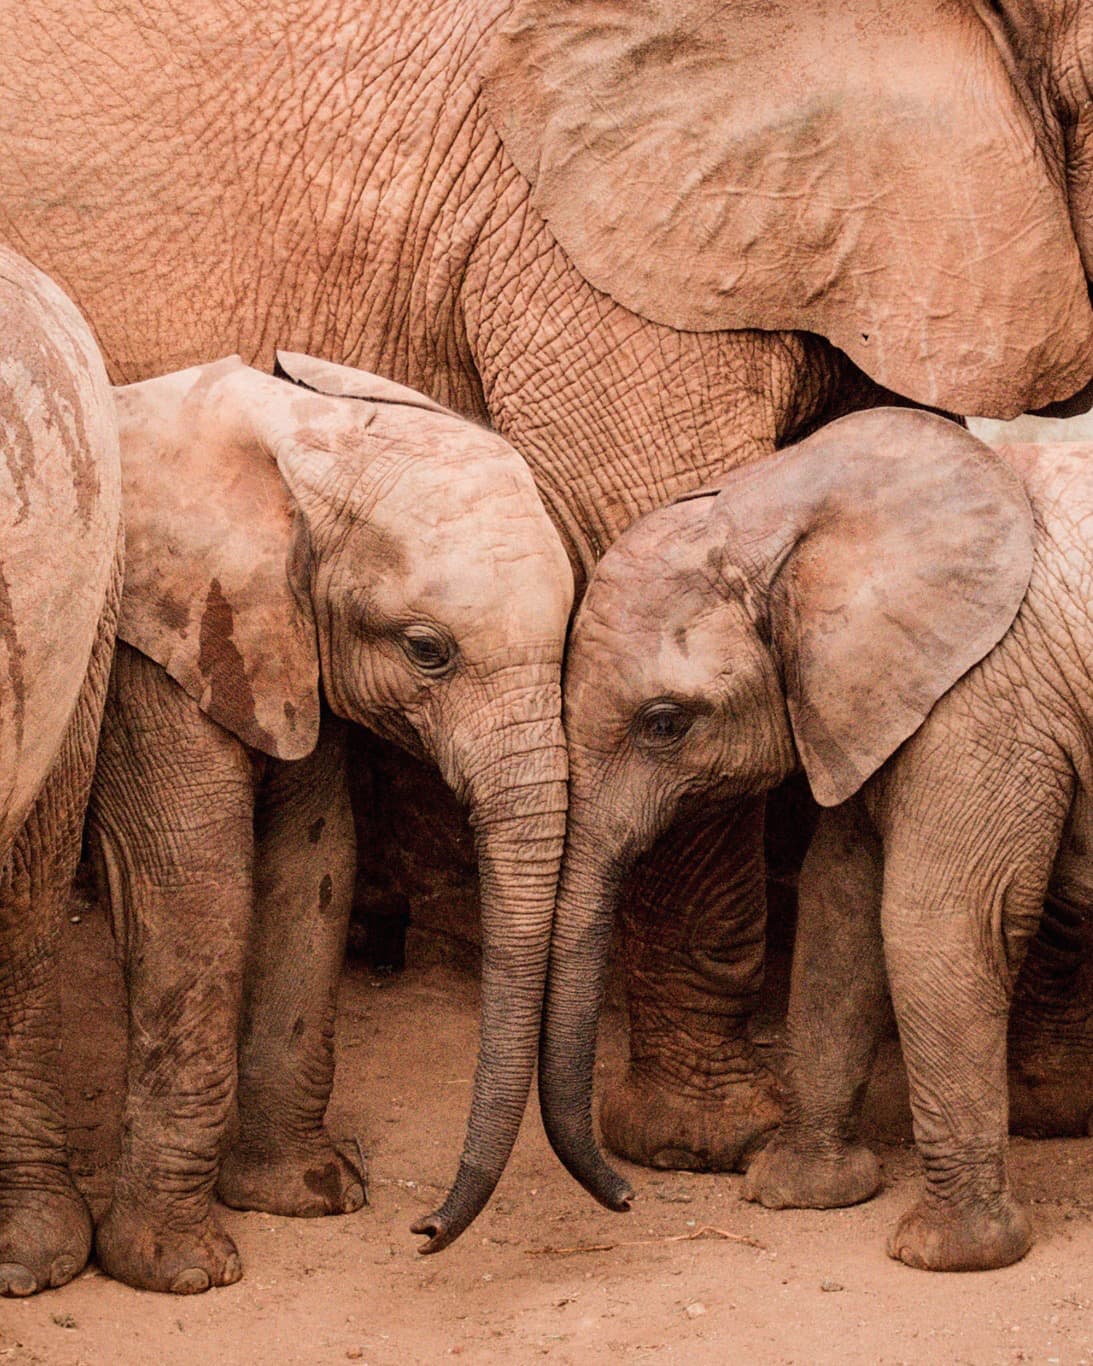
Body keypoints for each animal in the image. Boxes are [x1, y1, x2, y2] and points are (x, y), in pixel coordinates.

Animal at [89, 355, 576, 1289]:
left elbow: (313, 857)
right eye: (427, 651)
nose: (422, 1229)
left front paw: (308, 1198)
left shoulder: (284, 648)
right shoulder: (152, 649)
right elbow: (197, 880)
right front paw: (181, 1272)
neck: (302, 438)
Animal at [541, 407, 1093, 1267]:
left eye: (663, 724)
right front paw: (796, 1191)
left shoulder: (989, 699)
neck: (779, 506)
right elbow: (839, 910)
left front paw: (945, 1254)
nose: (625, 1196)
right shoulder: (862, 702)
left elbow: (937, 925)